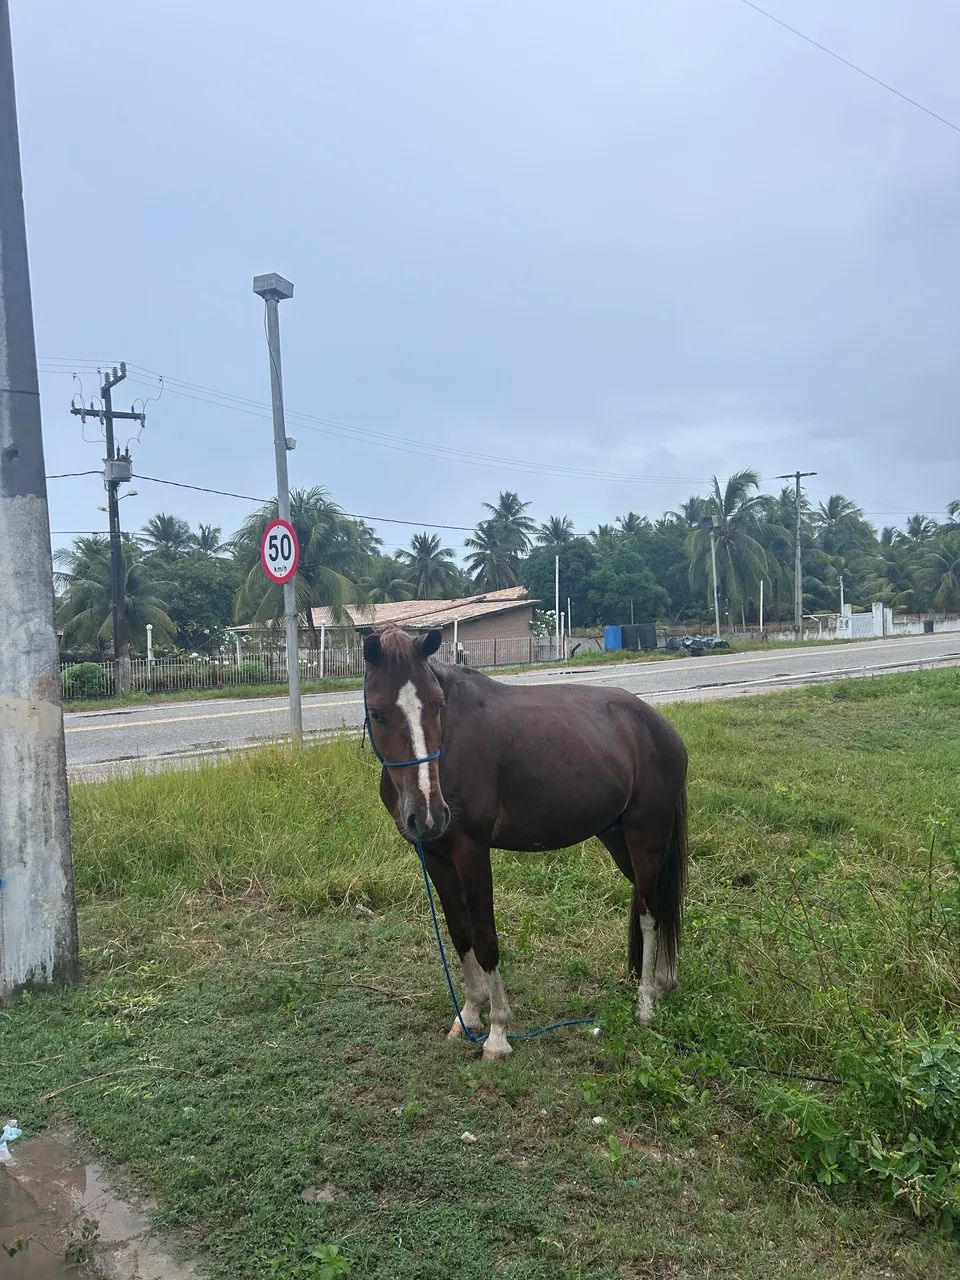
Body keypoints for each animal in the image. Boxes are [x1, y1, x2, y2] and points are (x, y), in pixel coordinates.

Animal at [362, 625, 688, 1062]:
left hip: (645, 837)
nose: (429, 814)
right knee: (656, 901)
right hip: (619, 839)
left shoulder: (471, 852)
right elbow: (460, 933)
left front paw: (497, 1033)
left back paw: (647, 1002)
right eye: (378, 712)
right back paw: (662, 981)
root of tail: (659, 727)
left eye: (436, 706)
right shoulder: (435, 856)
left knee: (651, 913)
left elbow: (485, 939)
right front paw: (469, 1016)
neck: (451, 744)